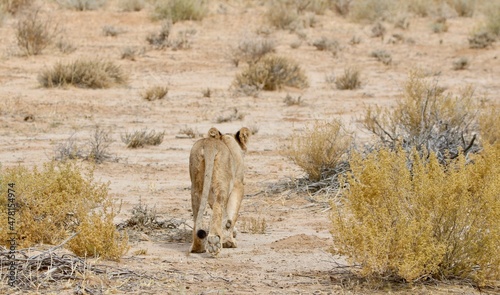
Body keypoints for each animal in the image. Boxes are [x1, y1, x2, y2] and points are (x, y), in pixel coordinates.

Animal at [188, 127, 250, 256]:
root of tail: (209, 145)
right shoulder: (238, 184)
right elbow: (231, 213)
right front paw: (229, 241)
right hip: (222, 182)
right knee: (218, 204)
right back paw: (214, 241)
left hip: (196, 185)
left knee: (198, 212)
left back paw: (197, 248)